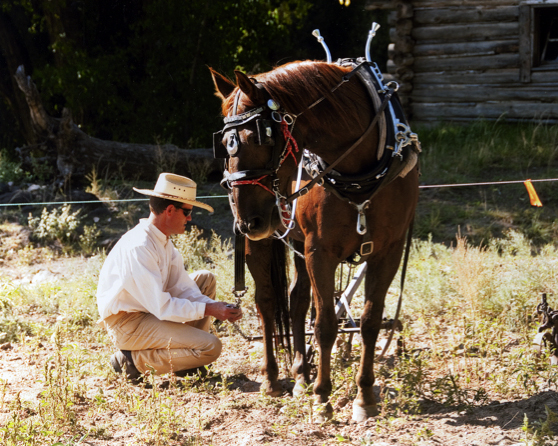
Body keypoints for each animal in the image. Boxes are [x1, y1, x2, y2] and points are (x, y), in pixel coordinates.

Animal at [212, 60, 422, 422]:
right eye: (225, 144)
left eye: (258, 136)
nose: (248, 220)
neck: (361, 169)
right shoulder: (320, 252)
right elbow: (324, 324)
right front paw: (323, 398)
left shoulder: (388, 251)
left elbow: (369, 321)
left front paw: (364, 396)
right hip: (262, 243)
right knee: (267, 303)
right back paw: (272, 378)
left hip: (295, 241)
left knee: (296, 300)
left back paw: (301, 376)